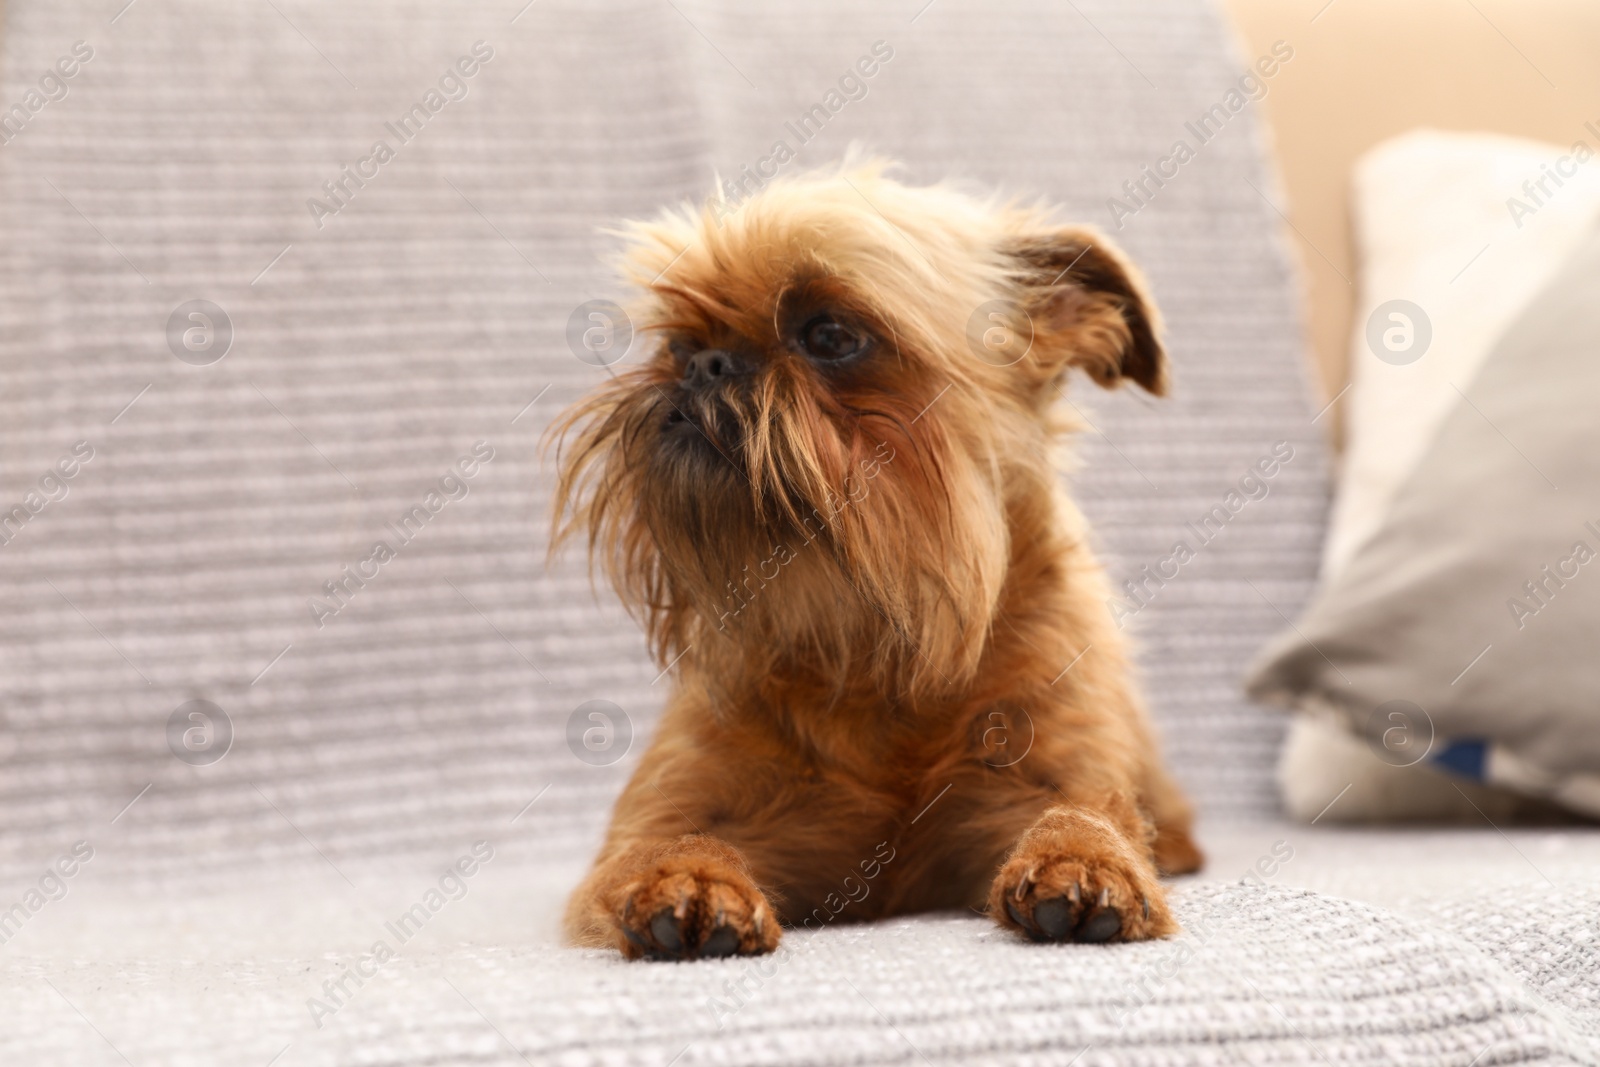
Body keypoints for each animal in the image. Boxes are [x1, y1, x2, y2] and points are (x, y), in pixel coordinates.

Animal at [550, 163, 1203, 966]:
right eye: (677, 345)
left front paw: (1085, 859)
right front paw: (689, 880)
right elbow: (665, 843)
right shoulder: (663, 812)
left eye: (829, 334)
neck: (875, 647)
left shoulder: (1058, 768)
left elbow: (1086, 815)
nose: (705, 364)